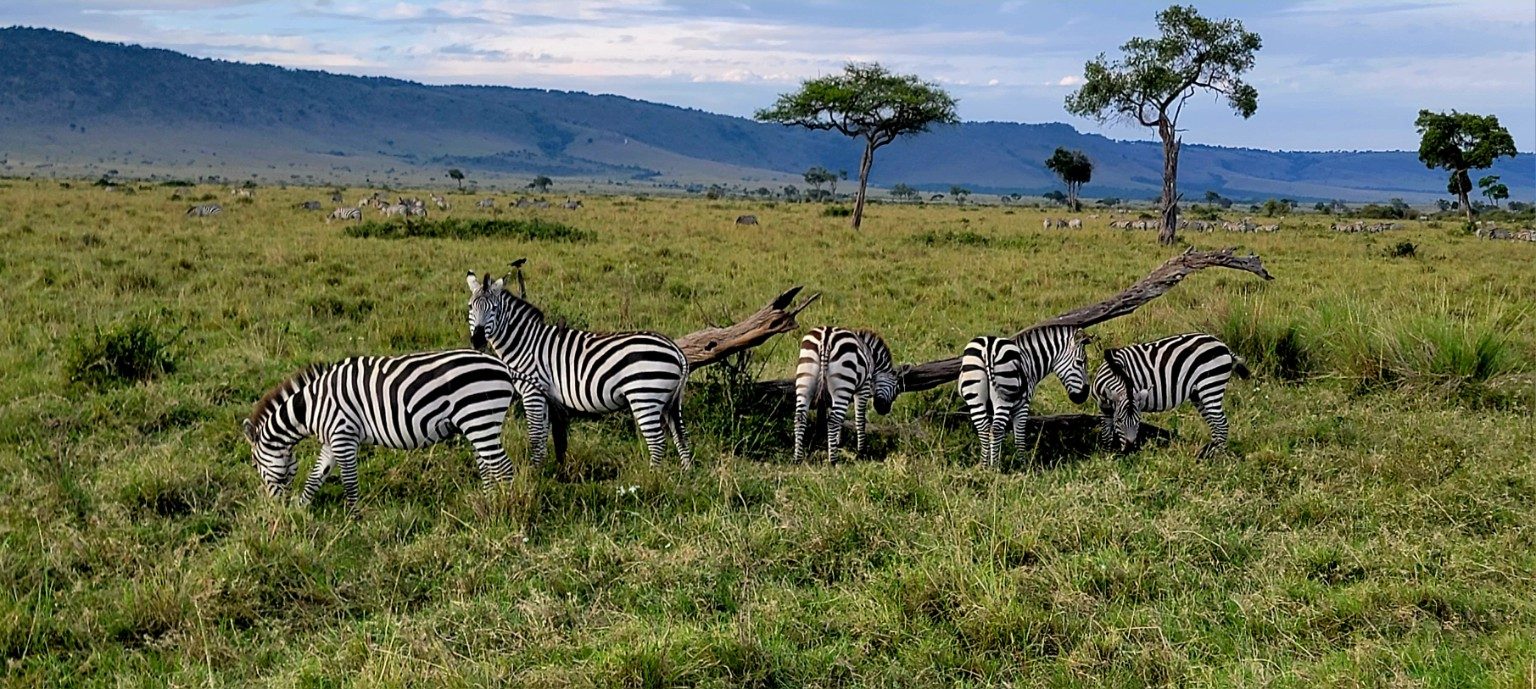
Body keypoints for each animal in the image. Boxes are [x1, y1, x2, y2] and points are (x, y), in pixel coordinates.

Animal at [242, 350, 523, 514]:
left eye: (255, 465)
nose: (276, 510)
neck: (310, 407)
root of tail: (502, 365)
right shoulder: (332, 440)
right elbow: (316, 476)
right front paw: (301, 510)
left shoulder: (344, 435)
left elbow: (349, 481)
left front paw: (353, 517)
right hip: (477, 424)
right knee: (488, 467)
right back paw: (488, 502)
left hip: (480, 417)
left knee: (503, 468)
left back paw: (506, 507)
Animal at [466, 268, 693, 468]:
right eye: (470, 307)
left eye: (494, 309)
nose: (477, 340)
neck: (525, 342)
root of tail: (674, 348)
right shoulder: (545, 394)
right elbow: (543, 436)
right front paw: (543, 469)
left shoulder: (532, 392)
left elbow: (535, 436)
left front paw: (534, 471)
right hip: (669, 401)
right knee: (681, 437)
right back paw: (685, 478)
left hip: (645, 396)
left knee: (658, 443)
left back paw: (653, 477)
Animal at [792, 326, 901, 463]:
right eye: (896, 389)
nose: (884, 410)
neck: (871, 357)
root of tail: (826, 339)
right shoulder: (864, 387)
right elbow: (860, 420)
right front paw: (861, 452)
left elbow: (838, 417)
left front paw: (837, 442)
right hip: (844, 384)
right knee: (833, 420)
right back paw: (833, 460)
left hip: (805, 379)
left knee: (800, 417)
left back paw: (798, 458)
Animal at [957, 325, 1091, 467]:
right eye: (1080, 362)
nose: (1084, 395)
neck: (1030, 362)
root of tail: (988, 348)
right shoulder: (1022, 405)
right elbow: (1019, 436)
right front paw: (1022, 464)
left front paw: (990, 461)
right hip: (1003, 398)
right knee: (996, 429)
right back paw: (995, 468)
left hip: (975, 398)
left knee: (983, 429)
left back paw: (984, 468)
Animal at [1093, 333, 1250, 458]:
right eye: (1119, 421)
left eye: (1138, 421)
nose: (1129, 450)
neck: (1116, 371)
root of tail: (1223, 345)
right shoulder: (1104, 407)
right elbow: (1106, 431)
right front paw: (1106, 454)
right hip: (1198, 394)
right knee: (1214, 423)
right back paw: (1208, 453)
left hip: (1211, 385)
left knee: (1221, 423)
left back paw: (1217, 456)